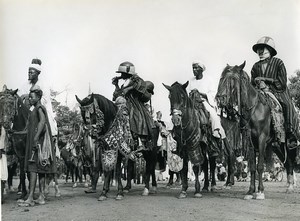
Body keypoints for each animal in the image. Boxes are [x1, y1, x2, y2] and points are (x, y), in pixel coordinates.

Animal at [214, 61, 296, 199]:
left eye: (233, 79)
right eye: (221, 78)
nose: (220, 98)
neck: (254, 109)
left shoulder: (261, 138)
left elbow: (260, 166)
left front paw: (260, 192)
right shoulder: (250, 140)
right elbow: (252, 166)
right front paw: (250, 191)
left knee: (292, 160)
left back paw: (291, 186)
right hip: (277, 145)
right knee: (288, 163)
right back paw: (289, 186)